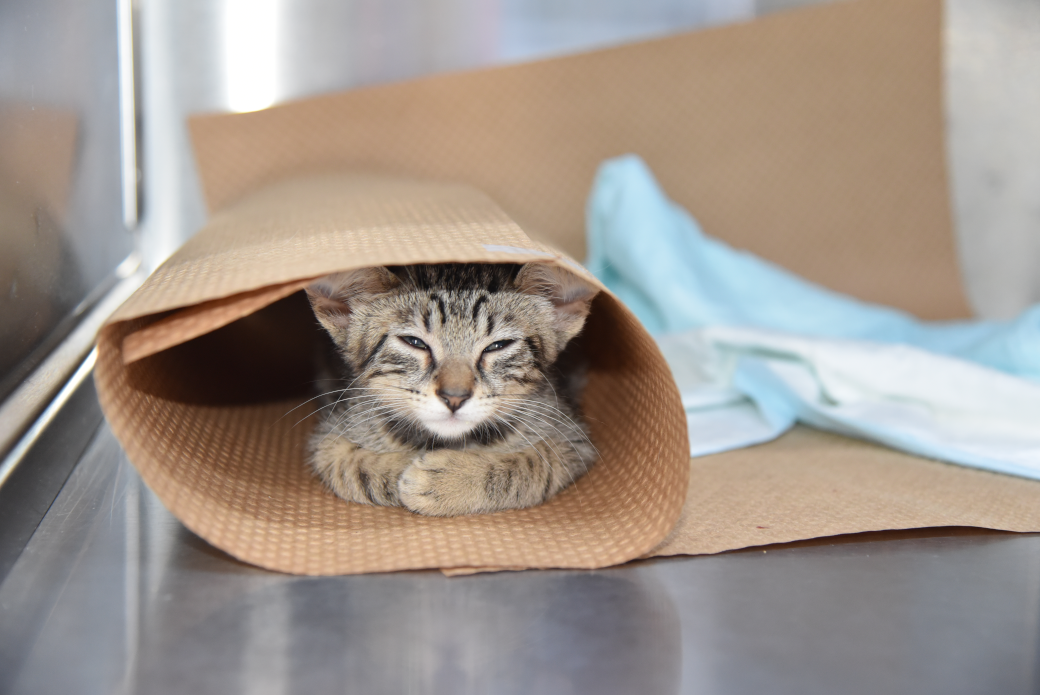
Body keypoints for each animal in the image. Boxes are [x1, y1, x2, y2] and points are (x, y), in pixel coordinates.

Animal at [303, 262, 599, 516]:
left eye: (498, 345)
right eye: (414, 342)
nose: (454, 398)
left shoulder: (571, 438)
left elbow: (535, 464)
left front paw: (451, 480)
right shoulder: (329, 433)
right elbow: (347, 465)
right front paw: (399, 470)